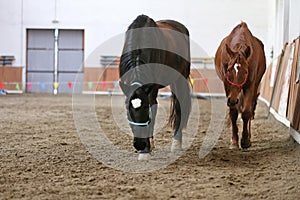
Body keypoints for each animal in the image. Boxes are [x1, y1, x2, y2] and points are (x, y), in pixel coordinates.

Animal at [119, 14, 191, 159]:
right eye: (128, 109)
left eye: (145, 108)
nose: (139, 144)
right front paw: (148, 146)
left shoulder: (151, 89)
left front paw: (146, 151)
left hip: (180, 79)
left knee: (179, 107)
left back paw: (176, 143)